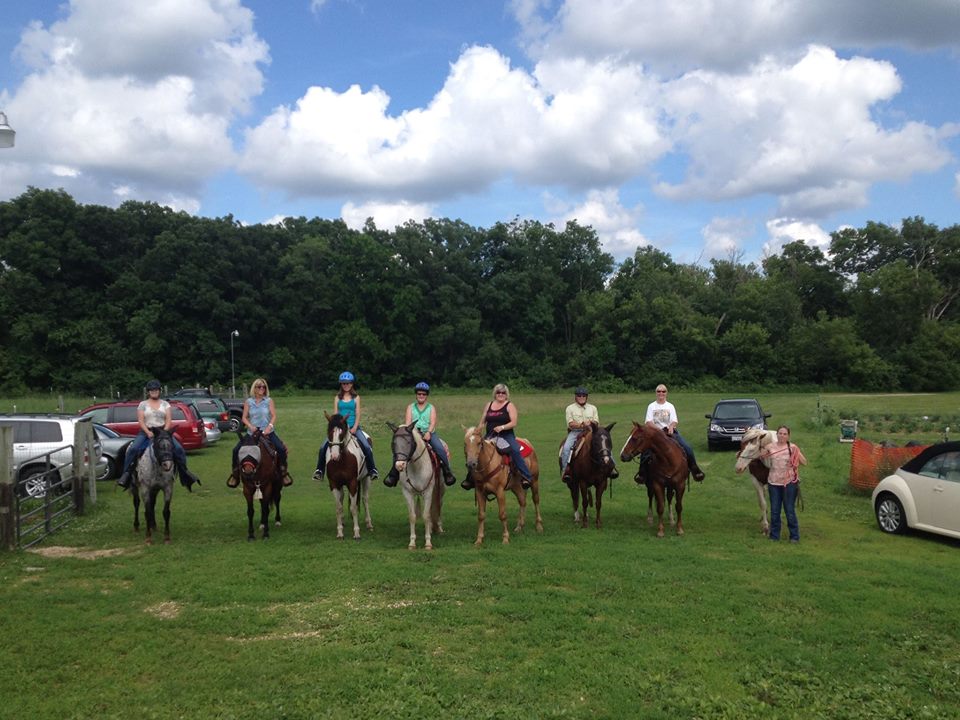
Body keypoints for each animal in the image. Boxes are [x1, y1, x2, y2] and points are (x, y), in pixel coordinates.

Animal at [323, 412, 373, 540]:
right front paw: (340, 532)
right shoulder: (334, 484)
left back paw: (369, 524)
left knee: (365, 499)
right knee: (342, 498)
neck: (341, 460)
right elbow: (338, 507)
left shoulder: (352, 483)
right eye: (329, 432)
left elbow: (354, 507)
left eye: (342, 433)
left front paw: (356, 533)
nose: (334, 456)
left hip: (366, 478)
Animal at [388, 422, 445, 550]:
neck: (417, 466)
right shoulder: (407, 493)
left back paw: (439, 527)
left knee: (438, 505)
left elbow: (426, 515)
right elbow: (412, 516)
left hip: (440, 489)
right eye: (394, 443)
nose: (400, 465)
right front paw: (412, 543)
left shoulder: (427, 492)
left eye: (409, 442)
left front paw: (428, 543)